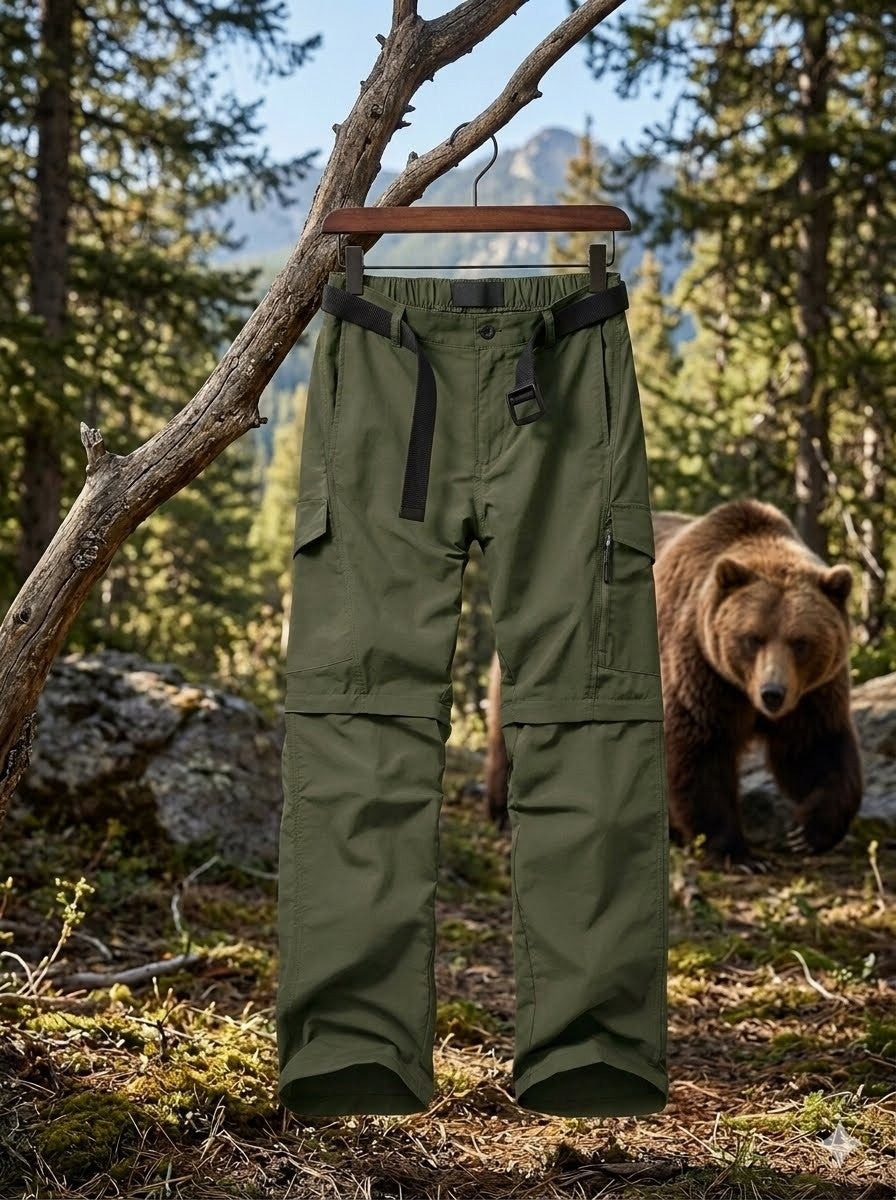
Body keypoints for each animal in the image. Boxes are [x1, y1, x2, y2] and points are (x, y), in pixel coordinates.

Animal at [485, 498, 864, 872]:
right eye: (752, 638)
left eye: (801, 642)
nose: (772, 694)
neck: (741, 690)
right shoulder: (699, 669)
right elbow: (700, 751)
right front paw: (737, 853)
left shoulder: (811, 693)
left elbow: (814, 750)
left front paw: (807, 831)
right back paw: (503, 813)